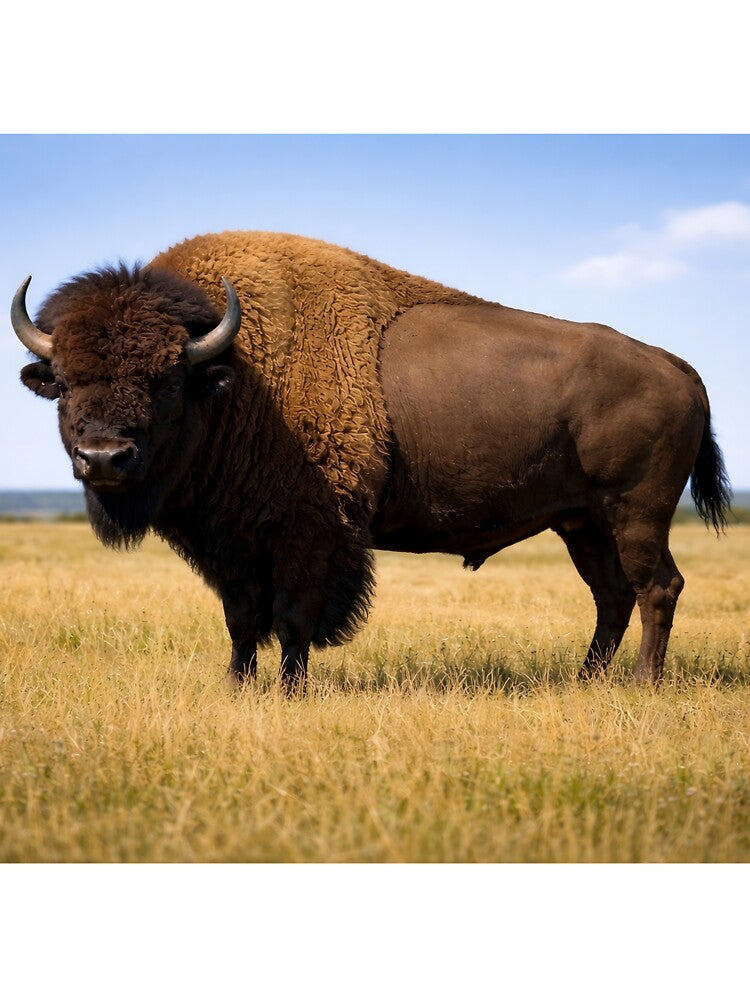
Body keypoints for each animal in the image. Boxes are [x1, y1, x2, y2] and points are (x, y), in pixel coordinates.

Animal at [13, 231, 730, 690]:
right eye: (66, 382)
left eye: (165, 380)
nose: (104, 456)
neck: (233, 377)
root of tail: (678, 367)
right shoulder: (232, 546)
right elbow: (242, 621)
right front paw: (237, 686)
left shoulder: (310, 534)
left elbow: (293, 619)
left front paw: (290, 691)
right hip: (582, 522)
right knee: (612, 595)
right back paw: (586, 680)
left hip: (635, 512)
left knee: (656, 587)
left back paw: (642, 685)